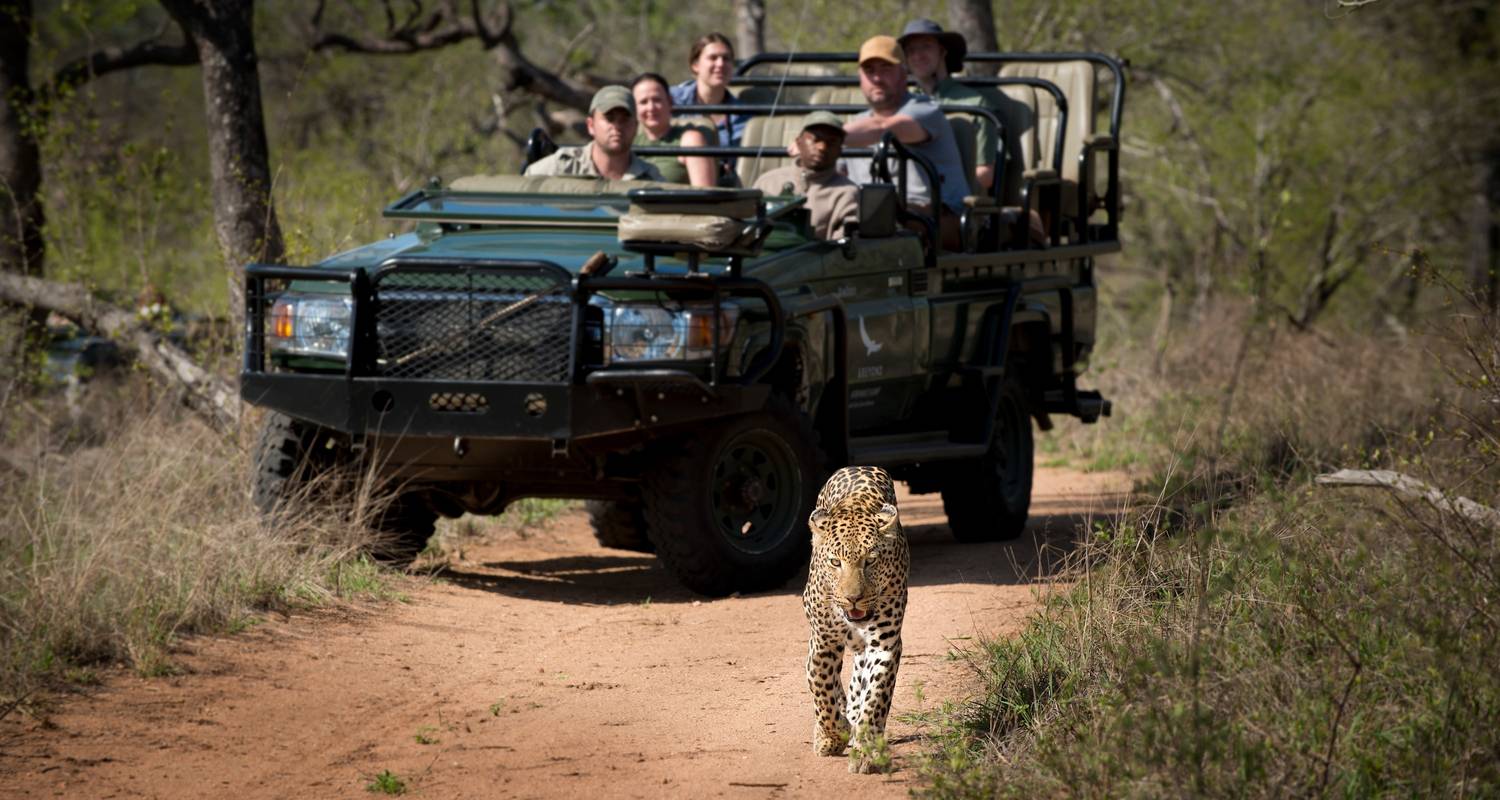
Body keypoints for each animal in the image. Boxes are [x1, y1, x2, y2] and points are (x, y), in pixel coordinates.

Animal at [804, 465, 906, 768]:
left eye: (870, 561)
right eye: (835, 562)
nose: (853, 598)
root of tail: (857, 466)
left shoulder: (885, 644)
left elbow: (876, 697)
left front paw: (866, 750)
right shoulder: (823, 642)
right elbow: (821, 689)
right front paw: (832, 735)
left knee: (858, 681)